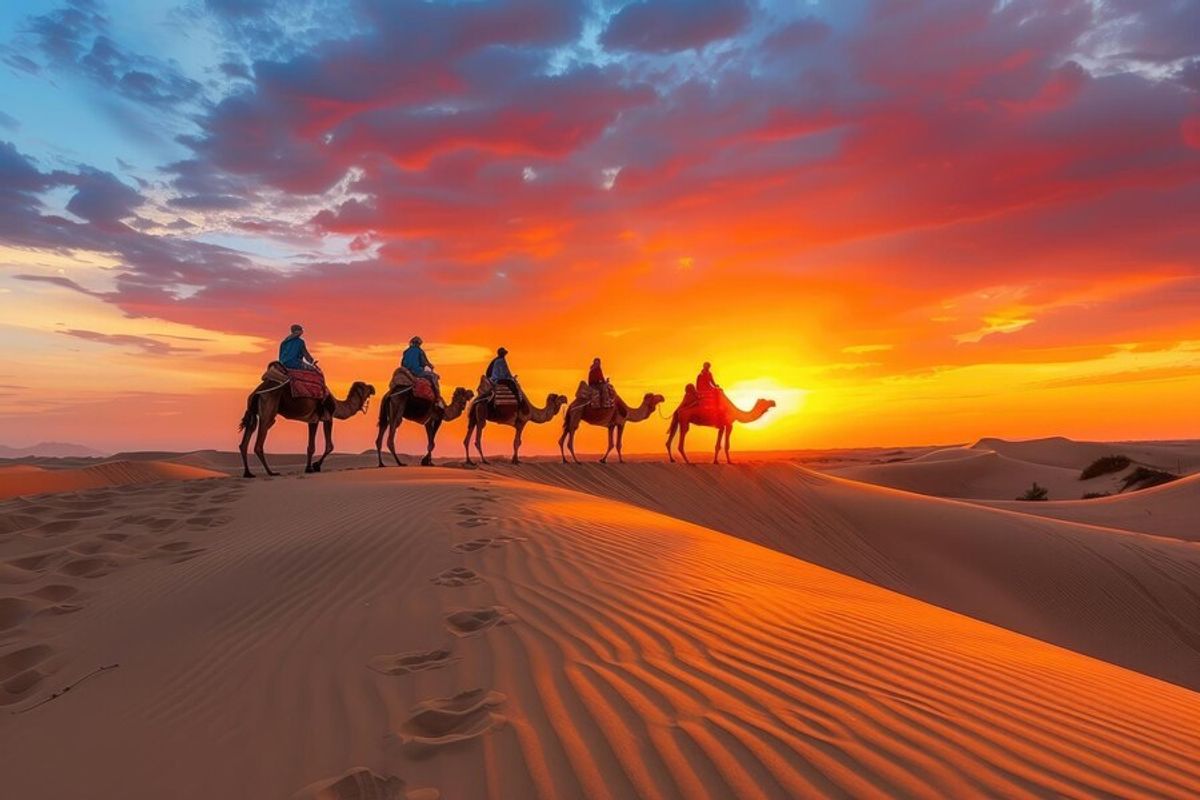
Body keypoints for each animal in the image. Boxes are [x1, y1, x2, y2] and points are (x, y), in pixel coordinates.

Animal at [238, 381, 374, 479]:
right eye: (365, 386)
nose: (373, 388)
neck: (336, 406)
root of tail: (257, 392)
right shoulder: (326, 417)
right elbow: (329, 446)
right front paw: (315, 466)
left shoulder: (312, 419)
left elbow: (311, 447)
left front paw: (309, 468)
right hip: (268, 408)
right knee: (259, 441)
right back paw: (271, 472)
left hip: (253, 411)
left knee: (246, 437)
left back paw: (248, 473)